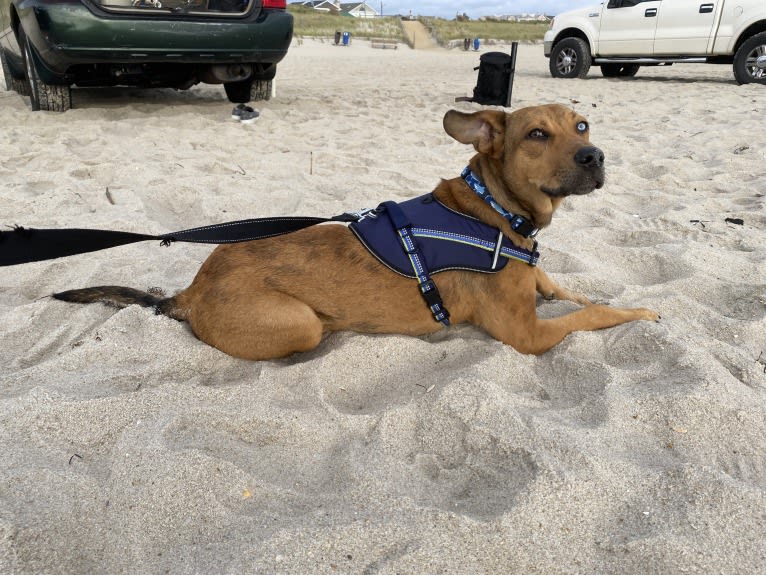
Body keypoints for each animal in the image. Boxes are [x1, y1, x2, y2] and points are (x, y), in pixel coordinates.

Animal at [54, 103, 660, 360]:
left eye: (583, 125)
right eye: (537, 134)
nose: (595, 156)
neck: (495, 211)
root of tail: (189, 292)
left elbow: (570, 292)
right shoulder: (526, 334)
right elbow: (590, 317)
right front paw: (638, 313)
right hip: (299, 323)